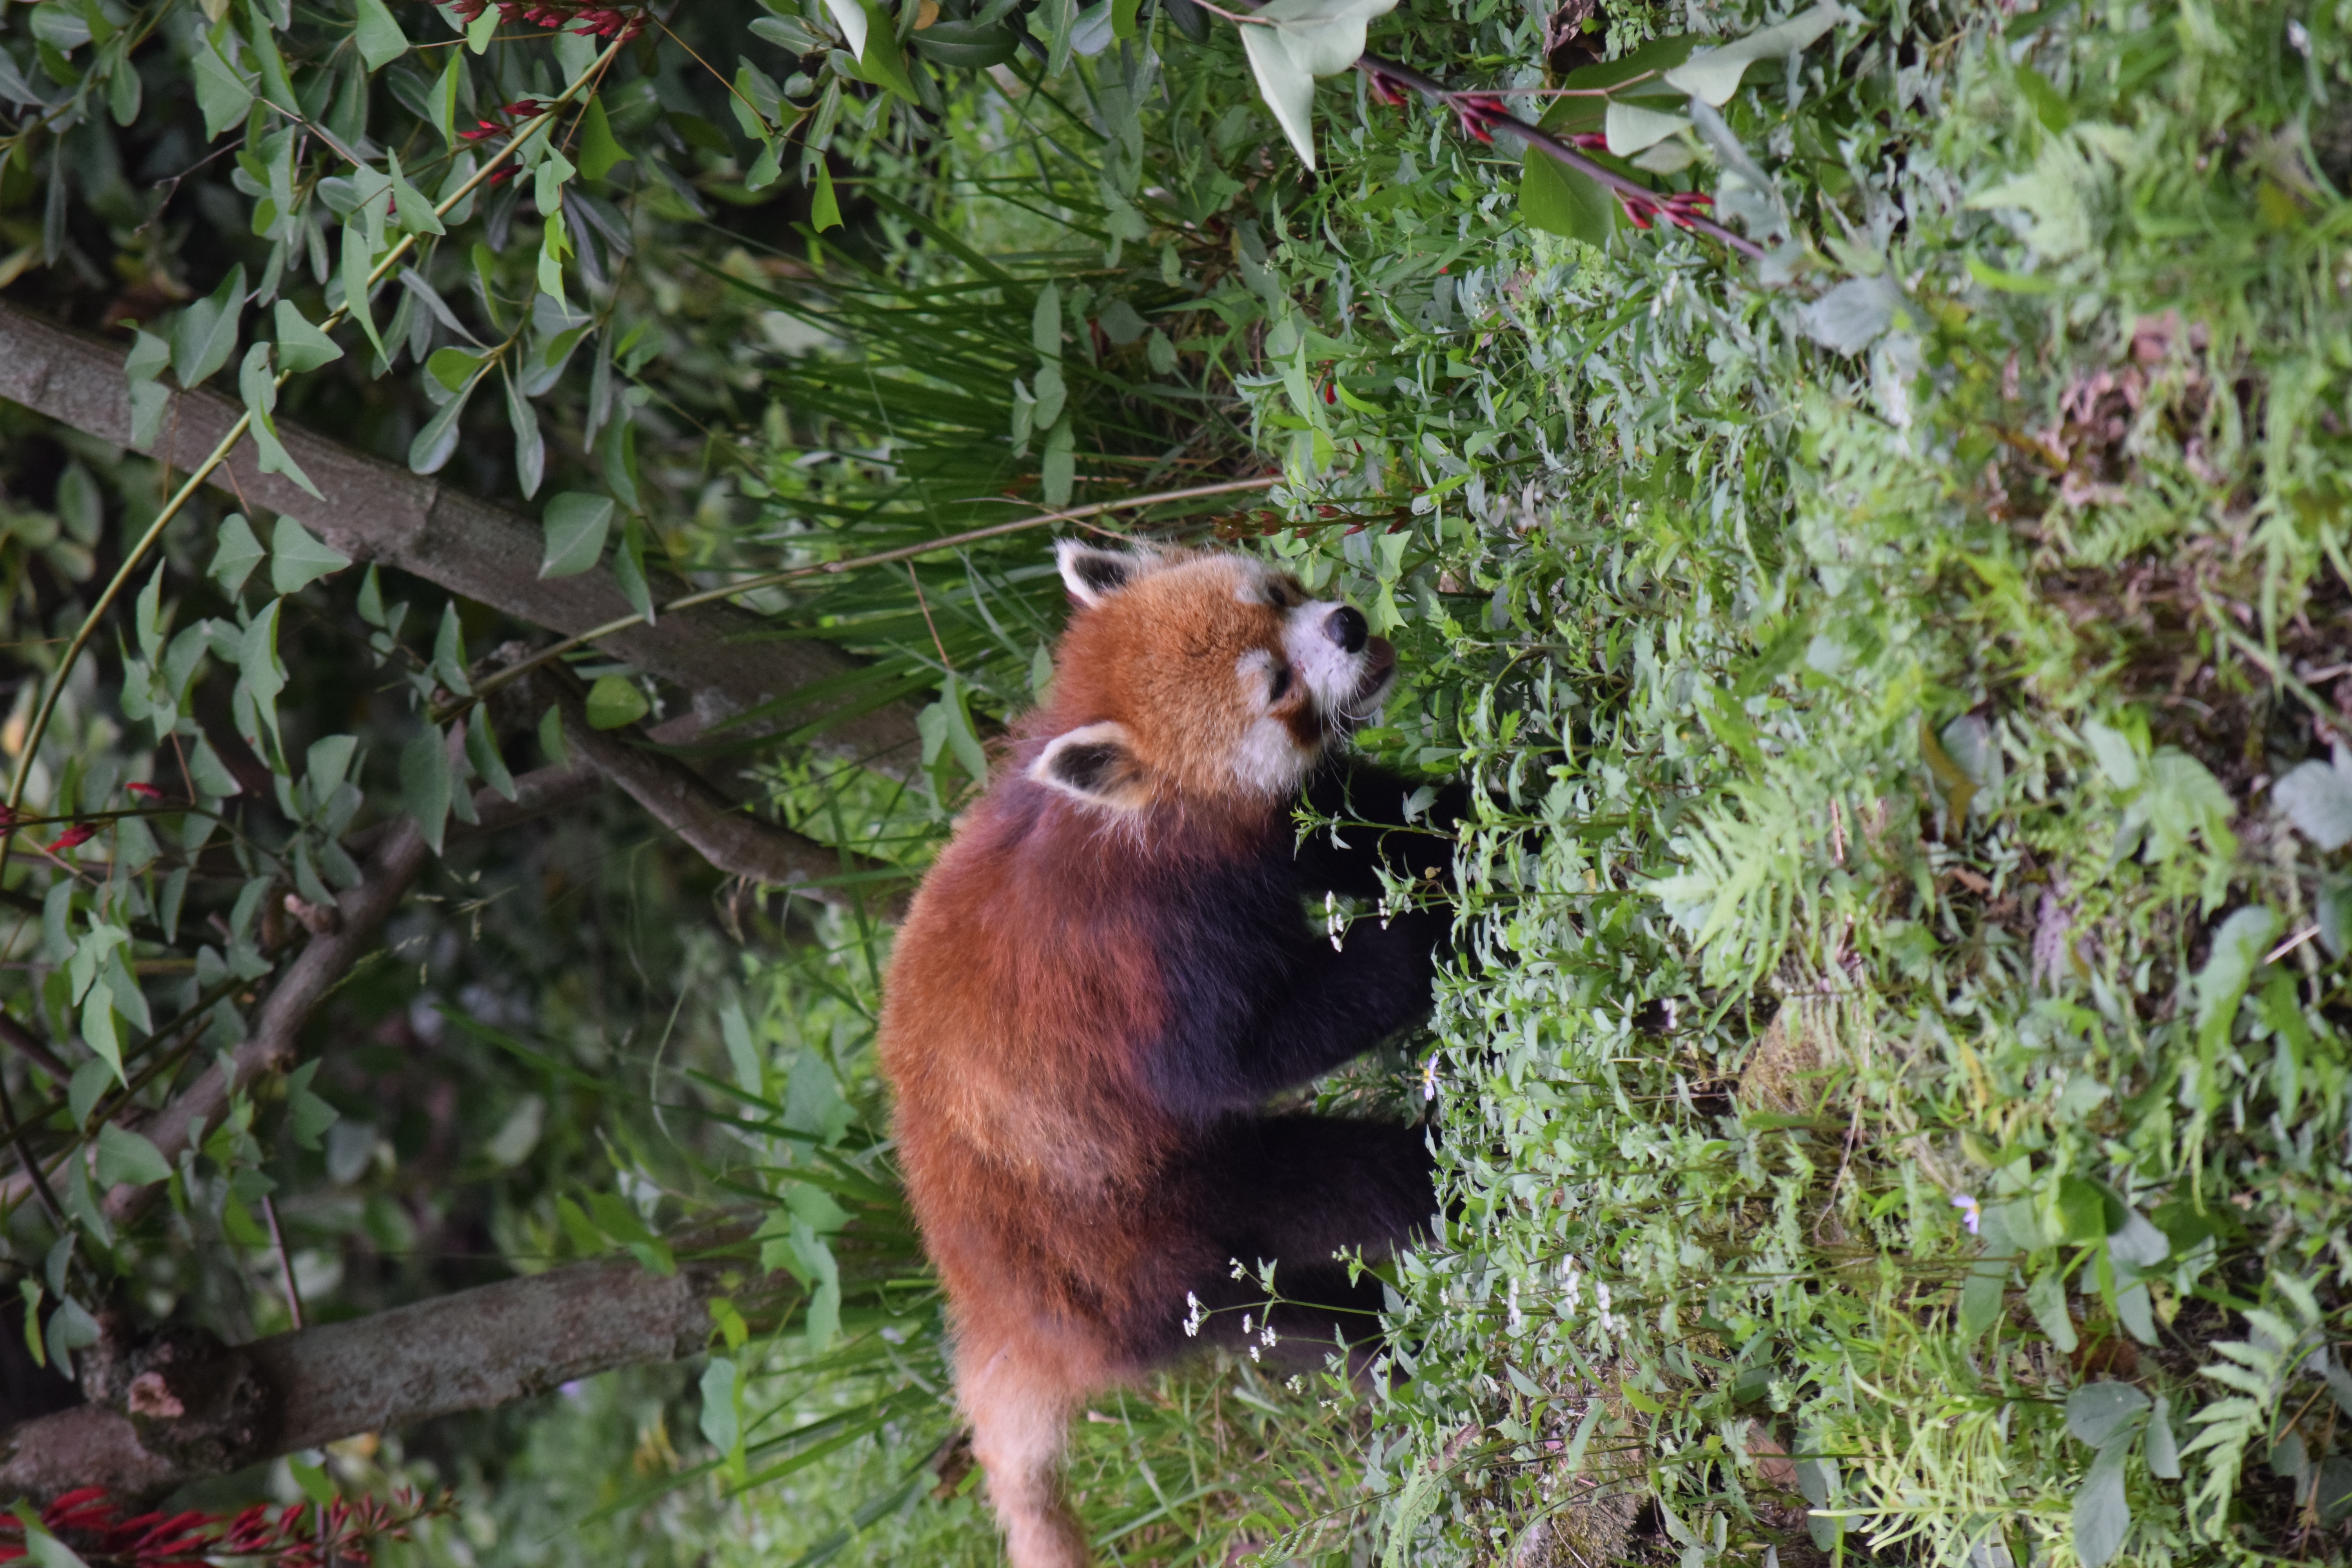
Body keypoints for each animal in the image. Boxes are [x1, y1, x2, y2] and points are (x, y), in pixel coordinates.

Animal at [876, 541, 1463, 1568]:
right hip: (1137, 1228)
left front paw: (1503, 805)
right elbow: (1249, 1054)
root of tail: (987, 1302)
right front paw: (1426, 927)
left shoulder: (1276, 830)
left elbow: (1362, 824)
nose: (1349, 624)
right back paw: (1412, 1310)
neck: (1149, 816)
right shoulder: (1157, 960)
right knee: (1328, 1231)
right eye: (1275, 685)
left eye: (1276, 594)